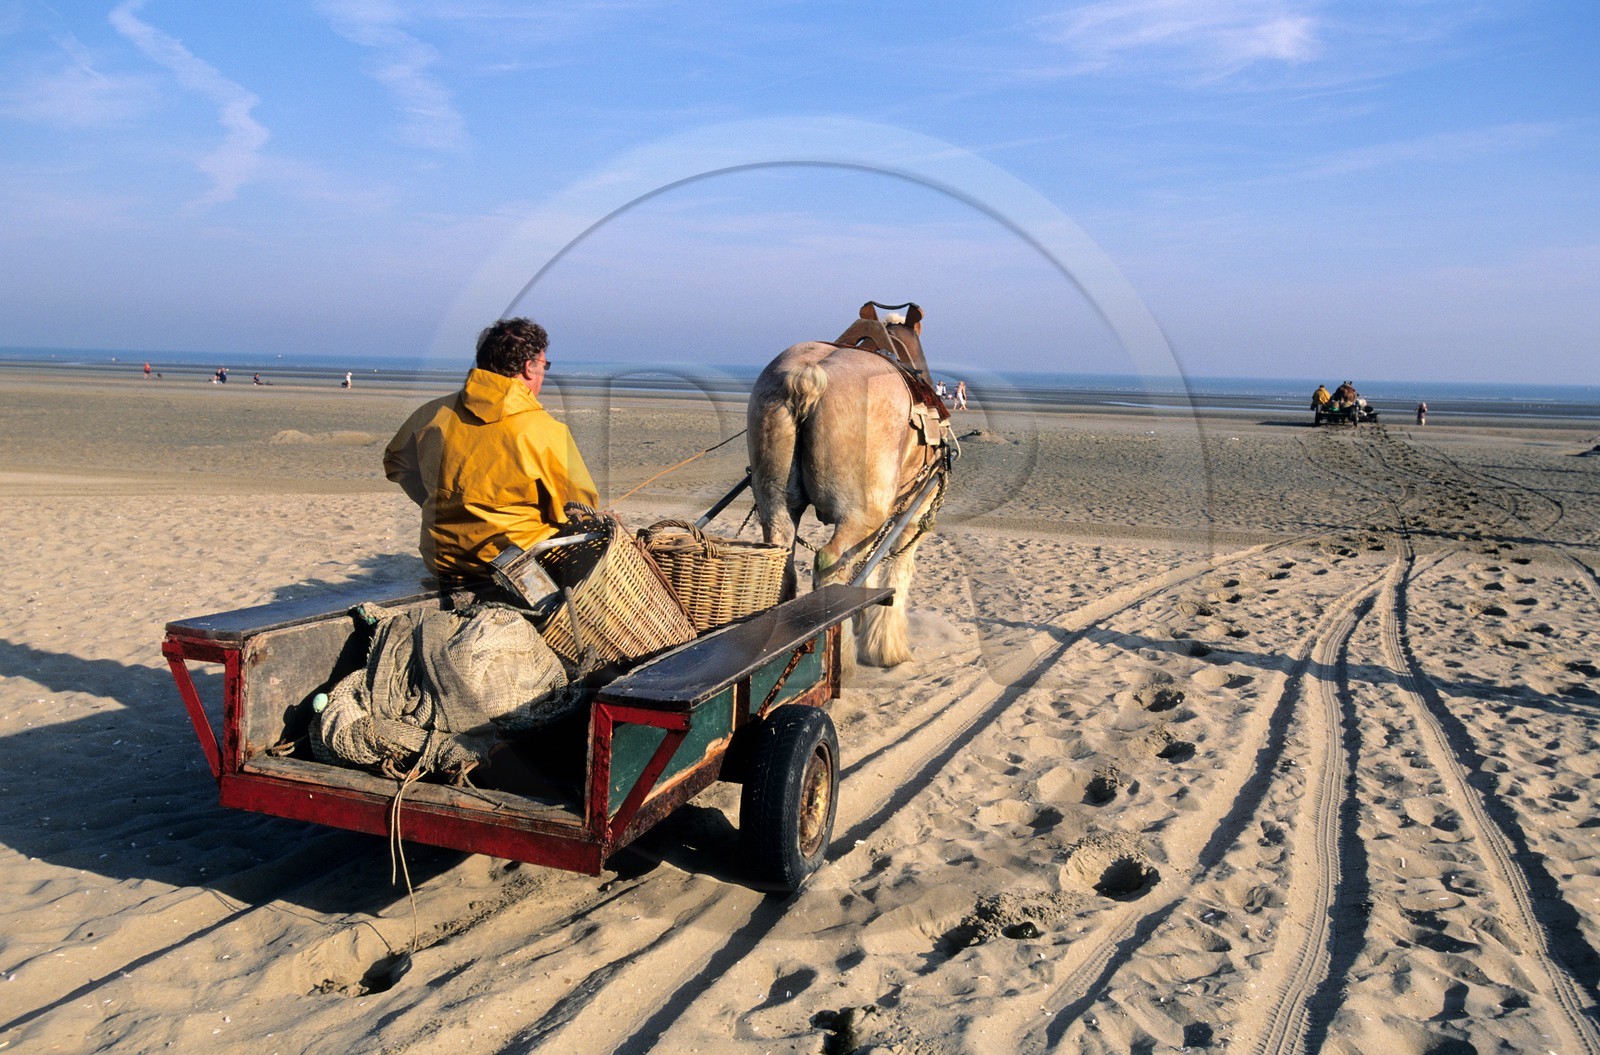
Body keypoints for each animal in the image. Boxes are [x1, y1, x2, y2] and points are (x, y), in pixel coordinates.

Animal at [746, 303, 950, 667]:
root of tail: (807, 376)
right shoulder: (913, 515)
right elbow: (896, 571)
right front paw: (886, 648)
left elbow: (866, 566)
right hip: (862, 513)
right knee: (830, 566)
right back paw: (843, 659)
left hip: (776, 500)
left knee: (783, 561)